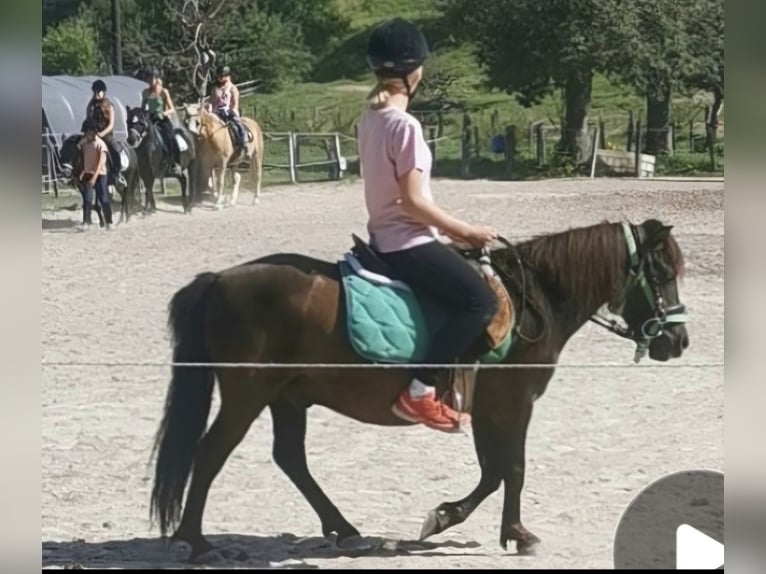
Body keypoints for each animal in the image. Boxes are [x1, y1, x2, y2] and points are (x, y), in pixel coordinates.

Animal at [148, 217, 688, 564]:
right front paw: (514, 533)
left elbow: (492, 471)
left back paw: (346, 531)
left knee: (290, 459)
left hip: (287, 396)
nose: (678, 341)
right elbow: (511, 469)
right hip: (248, 396)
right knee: (210, 453)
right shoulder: (514, 405)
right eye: (663, 273)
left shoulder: (486, 408)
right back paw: (198, 544)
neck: (533, 301)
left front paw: (447, 518)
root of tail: (220, 278)